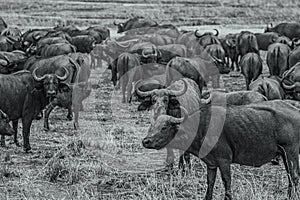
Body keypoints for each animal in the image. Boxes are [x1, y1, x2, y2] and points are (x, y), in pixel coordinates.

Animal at [142, 101, 300, 199]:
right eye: (152, 126)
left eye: (164, 127)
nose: (146, 141)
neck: (201, 127)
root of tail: (296, 111)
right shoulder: (211, 164)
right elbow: (210, 182)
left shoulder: (224, 161)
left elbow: (226, 182)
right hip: (284, 155)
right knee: (290, 177)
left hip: (291, 153)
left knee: (295, 177)